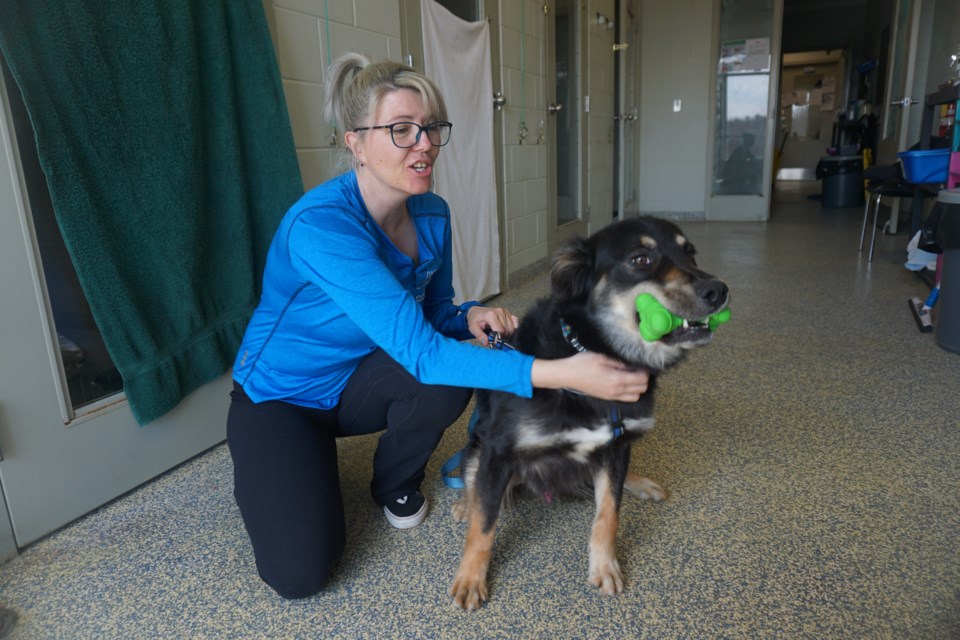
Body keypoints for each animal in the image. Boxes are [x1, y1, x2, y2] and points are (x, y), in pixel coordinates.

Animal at [450, 215, 728, 608]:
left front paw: (605, 565)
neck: (596, 351)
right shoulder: (497, 452)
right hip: (477, 447)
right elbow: (483, 525)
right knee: (473, 480)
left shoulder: (617, 445)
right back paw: (465, 502)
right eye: (641, 259)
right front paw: (471, 577)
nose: (719, 290)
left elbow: (608, 513)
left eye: (689, 253)